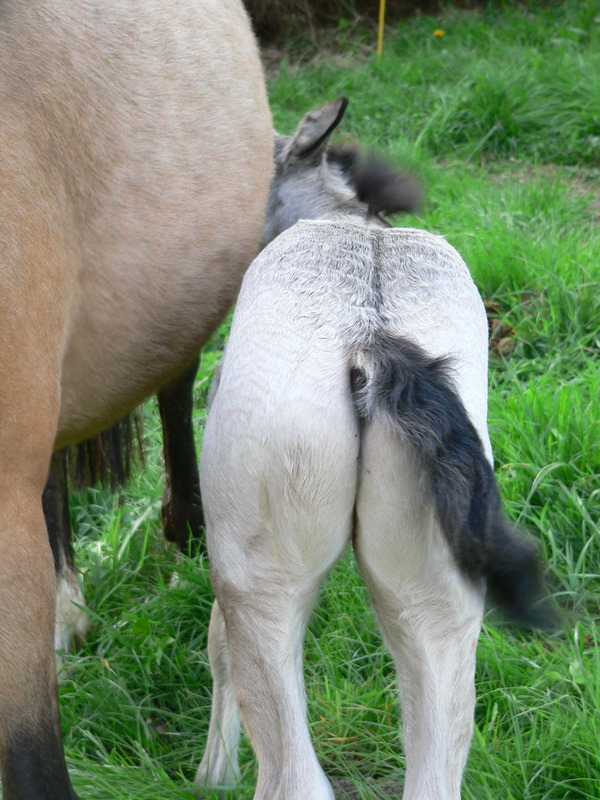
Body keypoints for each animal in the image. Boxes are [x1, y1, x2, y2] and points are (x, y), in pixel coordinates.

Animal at [195, 100, 552, 800]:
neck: (343, 219)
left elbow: (217, 646)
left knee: (291, 772)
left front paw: (212, 774)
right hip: (434, 595)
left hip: (261, 579)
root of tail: (372, 339)